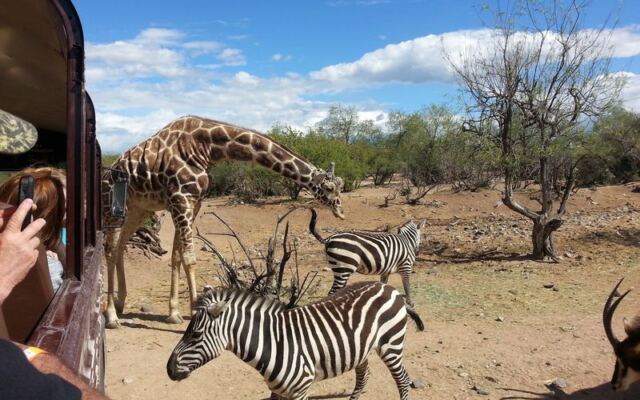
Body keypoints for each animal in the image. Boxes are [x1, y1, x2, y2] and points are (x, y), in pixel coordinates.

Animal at [103, 116, 345, 329]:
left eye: (341, 185)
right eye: (329, 187)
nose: (341, 212)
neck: (207, 148)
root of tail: (108, 170)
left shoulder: (193, 203)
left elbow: (176, 256)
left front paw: (173, 313)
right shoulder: (180, 199)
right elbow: (189, 258)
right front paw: (193, 312)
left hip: (139, 209)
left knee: (121, 246)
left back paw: (120, 303)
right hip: (112, 207)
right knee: (110, 250)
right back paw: (111, 316)